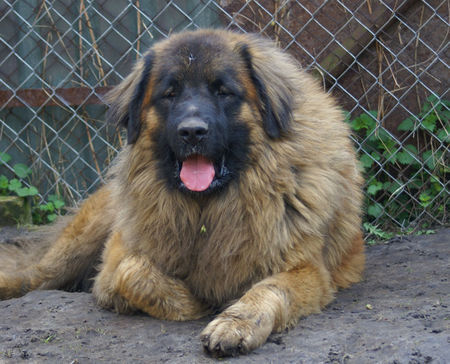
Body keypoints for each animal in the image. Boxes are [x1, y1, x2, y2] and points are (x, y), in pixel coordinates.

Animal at [0, 29, 364, 356]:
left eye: (223, 92)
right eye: (170, 94)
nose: (192, 132)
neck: (207, 209)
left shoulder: (308, 270)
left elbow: (270, 288)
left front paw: (234, 323)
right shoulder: (115, 259)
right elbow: (132, 274)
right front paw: (197, 301)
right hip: (79, 241)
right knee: (33, 276)